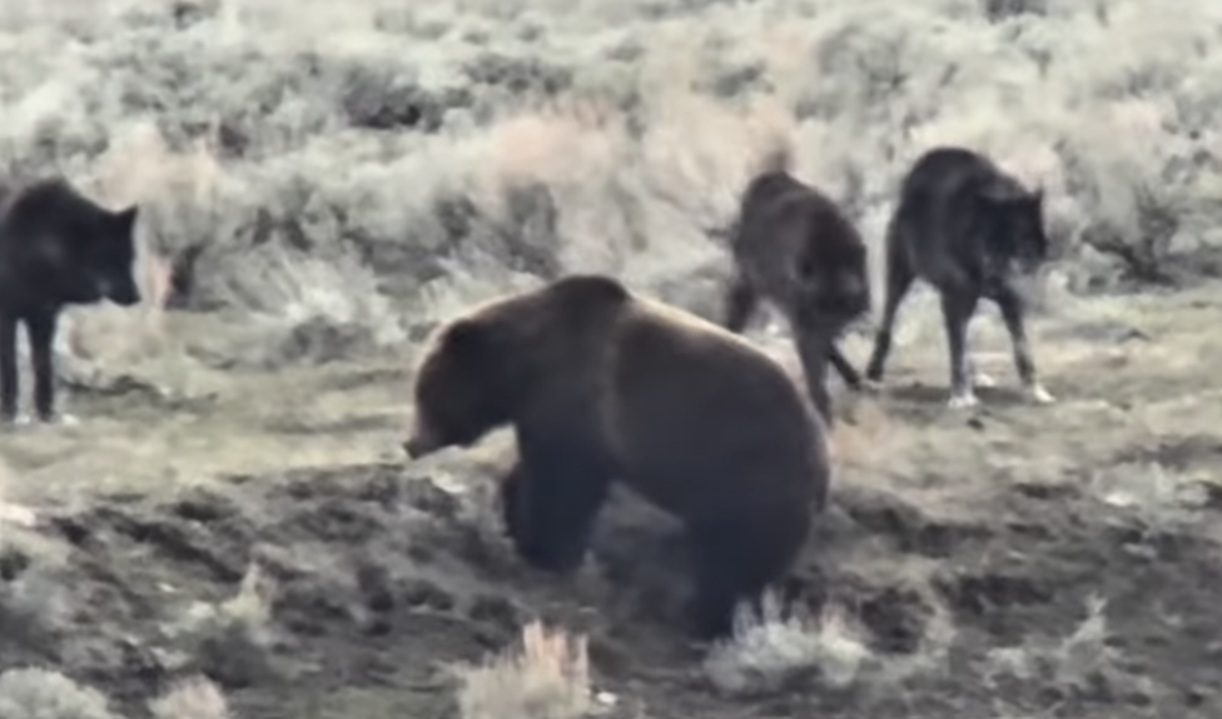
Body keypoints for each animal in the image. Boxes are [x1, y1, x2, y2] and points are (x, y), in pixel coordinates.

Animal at [0, 178, 142, 424]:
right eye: (113, 258)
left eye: (130, 259)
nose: (137, 297)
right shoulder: (7, 316)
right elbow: (10, 366)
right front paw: (9, 412)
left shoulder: (45, 317)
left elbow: (43, 365)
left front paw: (45, 412)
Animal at [403, 274, 830, 639]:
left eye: (424, 391)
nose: (411, 443)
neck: (526, 367)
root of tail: (821, 453)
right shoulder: (546, 414)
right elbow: (534, 473)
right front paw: (515, 526)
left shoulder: (579, 405)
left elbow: (562, 489)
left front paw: (544, 551)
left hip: (750, 476)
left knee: (734, 561)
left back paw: (707, 620)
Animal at [721, 150, 871, 426]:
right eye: (819, 305)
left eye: (840, 303)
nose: (824, 330)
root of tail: (767, 177)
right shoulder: (804, 323)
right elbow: (817, 373)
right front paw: (823, 415)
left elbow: (828, 354)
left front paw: (851, 379)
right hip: (748, 283)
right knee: (734, 312)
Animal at [863, 146, 1054, 408]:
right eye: (990, 244)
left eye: (1019, 242)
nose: (996, 278)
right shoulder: (956, 296)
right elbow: (957, 349)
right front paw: (961, 396)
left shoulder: (1009, 300)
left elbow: (1022, 348)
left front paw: (1036, 391)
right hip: (901, 279)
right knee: (887, 325)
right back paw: (873, 375)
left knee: (964, 338)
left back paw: (977, 376)